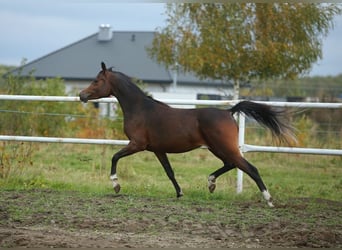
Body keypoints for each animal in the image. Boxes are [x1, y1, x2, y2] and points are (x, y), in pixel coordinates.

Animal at [80, 62, 294, 207]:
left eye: (97, 80)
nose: (82, 95)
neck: (141, 109)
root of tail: (229, 112)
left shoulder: (137, 144)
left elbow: (115, 157)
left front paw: (116, 185)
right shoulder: (158, 150)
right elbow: (169, 171)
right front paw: (180, 193)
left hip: (225, 147)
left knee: (251, 168)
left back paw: (269, 200)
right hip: (217, 148)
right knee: (231, 164)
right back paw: (211, 183)